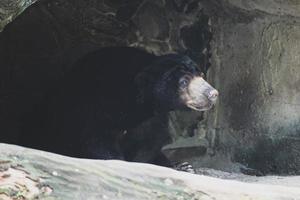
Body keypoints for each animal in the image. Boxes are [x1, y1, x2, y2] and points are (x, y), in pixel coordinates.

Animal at [21, 47, 218, 166]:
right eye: (183, 82)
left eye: (201, 74)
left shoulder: (152, 117)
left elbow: (148, 141)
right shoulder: (95, 105)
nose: (213, 93)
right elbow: (97, 139)